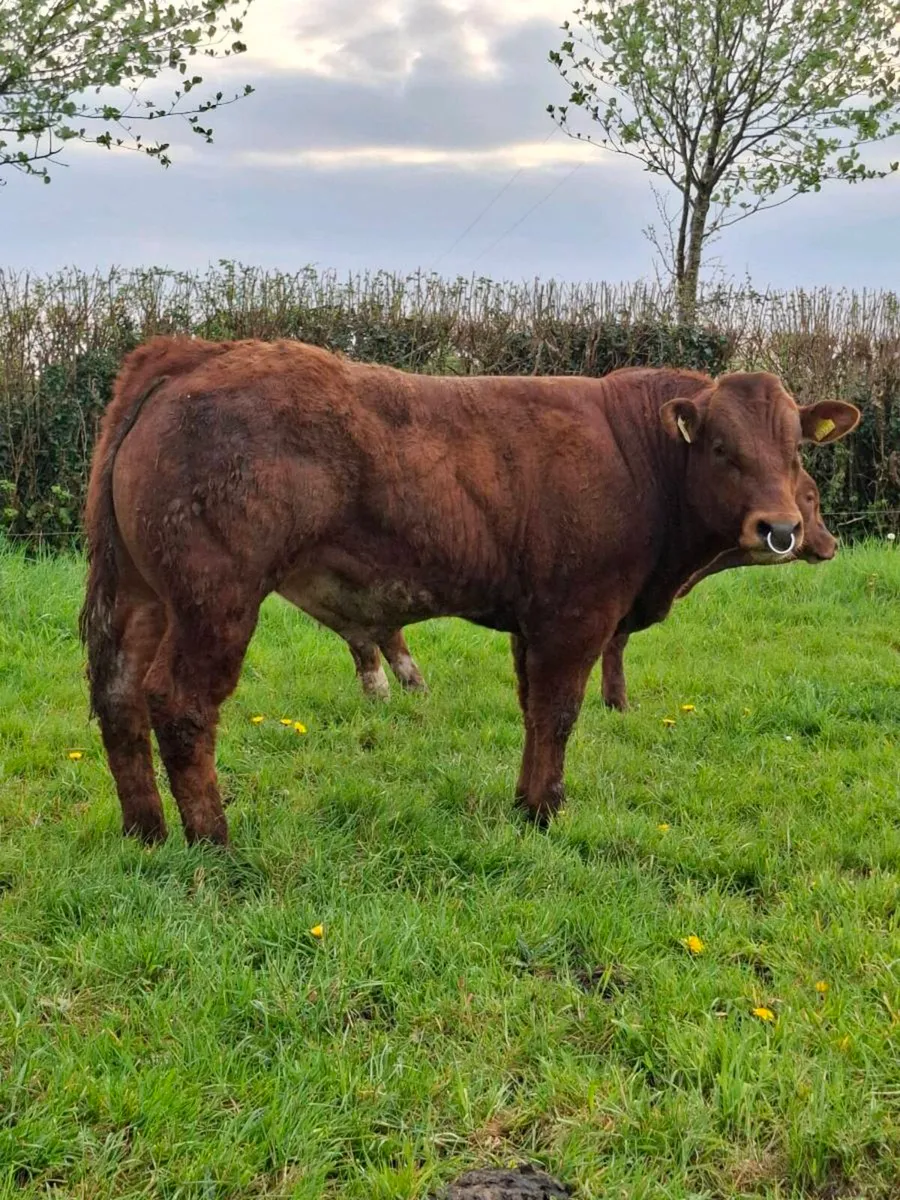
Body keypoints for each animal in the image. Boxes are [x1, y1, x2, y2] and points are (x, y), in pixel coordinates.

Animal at [79, 338, 859, 845]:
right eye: (722, 448)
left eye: (795, 451)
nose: (781, 529)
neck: (639, 457)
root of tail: (197, 352)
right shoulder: (578, 613)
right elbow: (558, 713)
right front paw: (545, 812)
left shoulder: (533, 620)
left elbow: (532, 710)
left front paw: (525, 804)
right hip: (216, 597)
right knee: (179, 703)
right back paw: (213, 842)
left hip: (140, 592)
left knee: (117, 696)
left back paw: (146, 831)